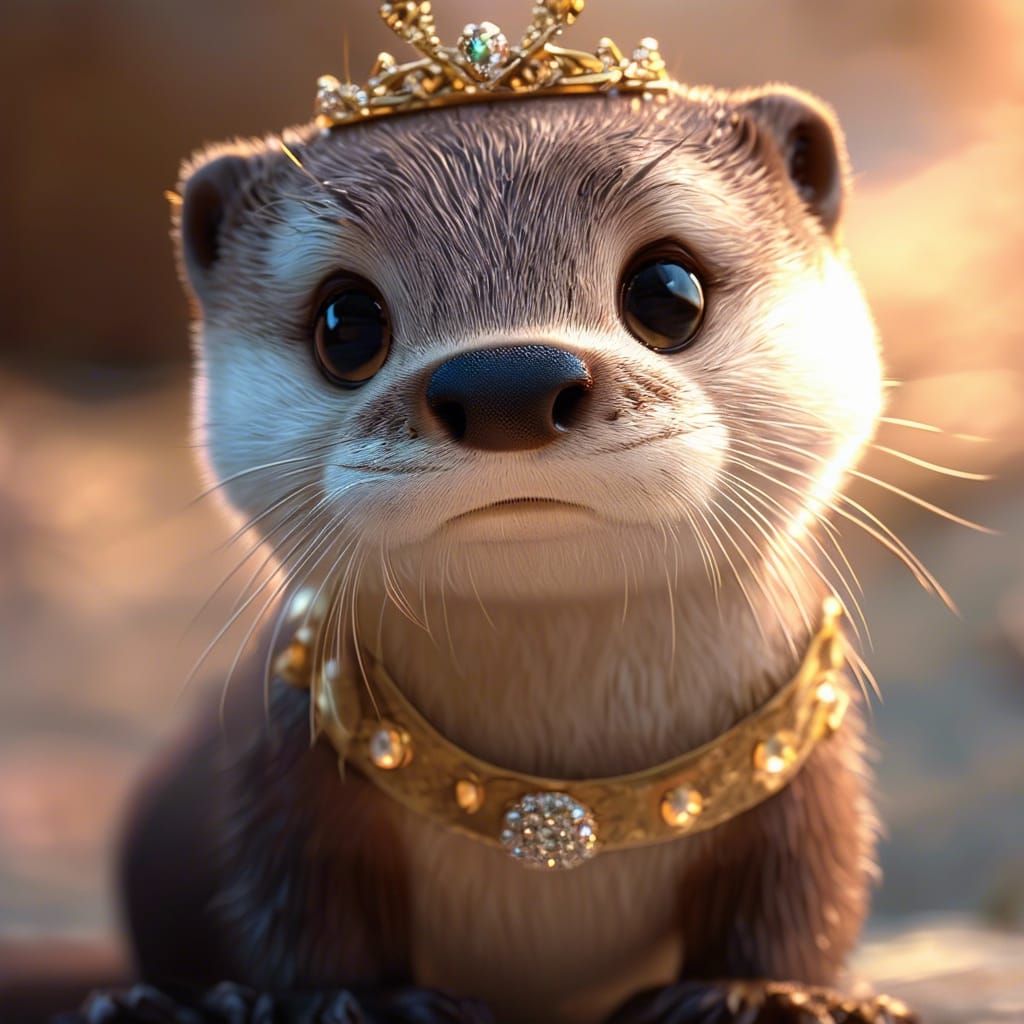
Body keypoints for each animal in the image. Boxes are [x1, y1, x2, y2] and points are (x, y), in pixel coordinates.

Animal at [106, 54, 915, 1024]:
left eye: (668, 290)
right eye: (346, 323)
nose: (506, 383)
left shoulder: (791, 755)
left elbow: (802, 881)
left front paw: (759, 993)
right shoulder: (295, 760)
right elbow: (306, 899)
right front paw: (353, 1000)